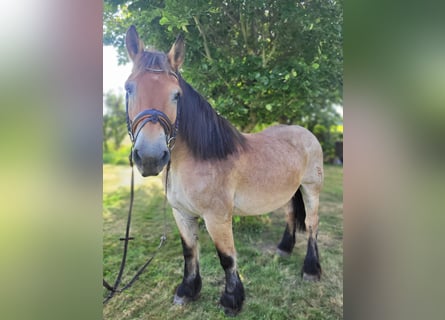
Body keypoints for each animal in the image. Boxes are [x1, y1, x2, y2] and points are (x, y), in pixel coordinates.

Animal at [123, 25, 320, 316]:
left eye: (176, 95)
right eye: (129, 89)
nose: (150, 157)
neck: (200, 157)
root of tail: (305, 132)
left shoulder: (217, 217)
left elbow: (227, 258)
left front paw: (232, 300)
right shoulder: (181, 213)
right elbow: (189, 251)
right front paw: (188, 291)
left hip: (311, 189)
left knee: (312, 224)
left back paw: (311, 270)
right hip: (288, 191)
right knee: (290, 214)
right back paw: (284, 249)